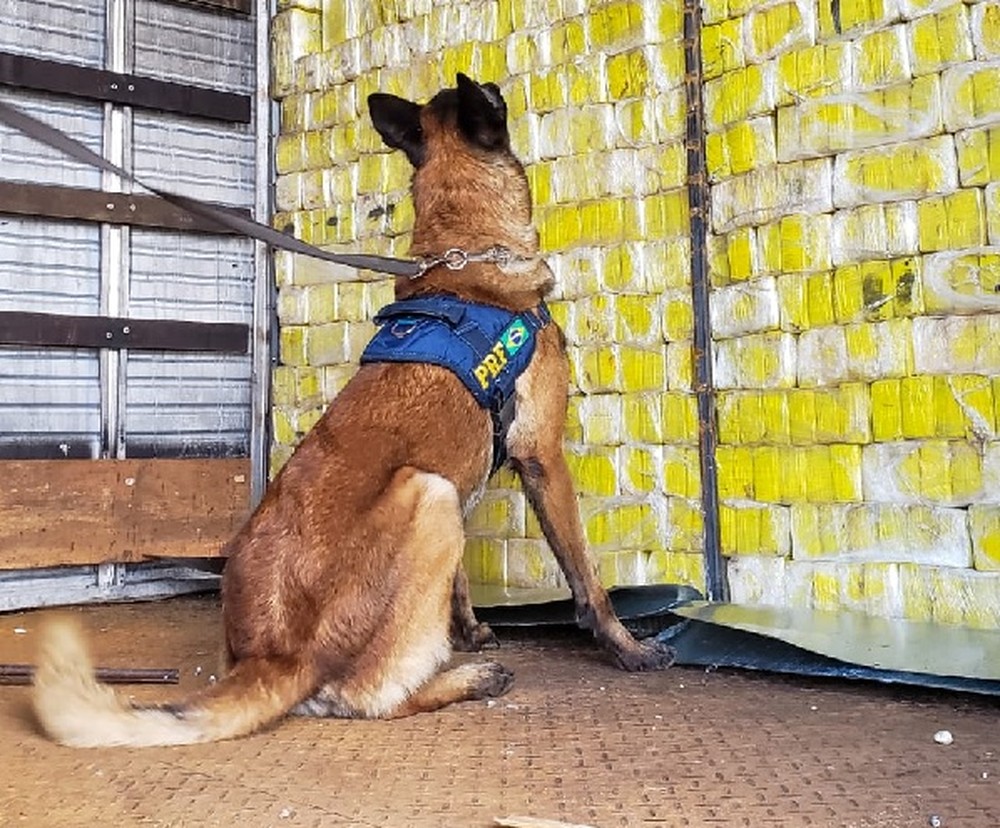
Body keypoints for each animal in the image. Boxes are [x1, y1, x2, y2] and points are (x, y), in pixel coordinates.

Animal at [31, 74, 676, 752]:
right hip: (429, 495)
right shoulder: (542, 457)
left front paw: (469, 629)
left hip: (438, 496)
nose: (498, 83)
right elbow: (585, 575)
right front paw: (627, 648)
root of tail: (276, 659)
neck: (468, 254)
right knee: (373, 698)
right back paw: (468, 680)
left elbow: (458, 585)